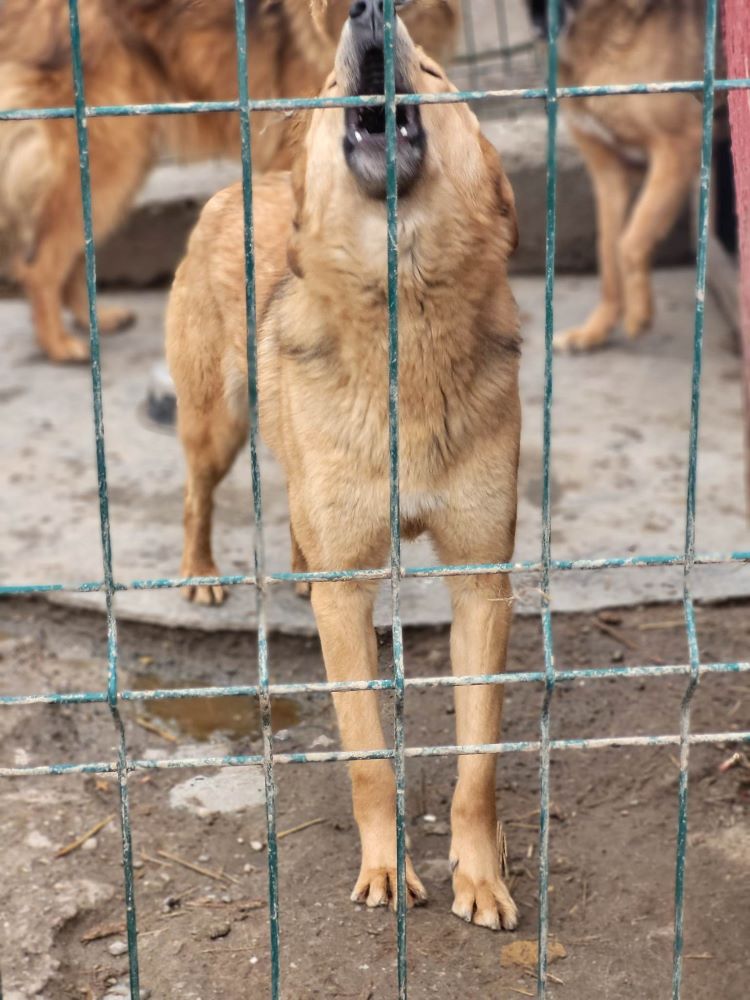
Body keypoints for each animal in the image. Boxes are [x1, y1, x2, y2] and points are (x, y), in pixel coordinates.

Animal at [169, 0, 524, 928]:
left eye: (434, 73)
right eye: (331, 85)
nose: (369, 12)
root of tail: (247, 183)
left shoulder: (483, 579)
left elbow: (478, 762)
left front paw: (481, 876)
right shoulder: (352, 596)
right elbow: (367, 756)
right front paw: (386, 871)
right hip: (216, 426)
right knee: (196, 494)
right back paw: (200, 573)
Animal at [528, 0, 712, 352]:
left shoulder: (678, 146)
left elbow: (631, 239)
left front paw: (639, 312)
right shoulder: (608, 173)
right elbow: (608, 250)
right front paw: (596, 329)